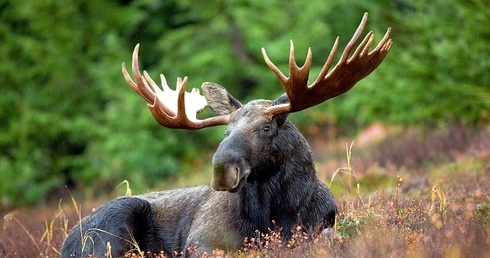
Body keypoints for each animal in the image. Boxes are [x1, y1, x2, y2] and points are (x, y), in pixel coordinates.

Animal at [61, 12, 392, 258]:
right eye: (226, 130)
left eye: (266, 127)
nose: (222, 170)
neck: (279, 212)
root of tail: (67, 242)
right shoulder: (201, 241)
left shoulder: (322, 224)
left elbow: (329, 236)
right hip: (115, 222)